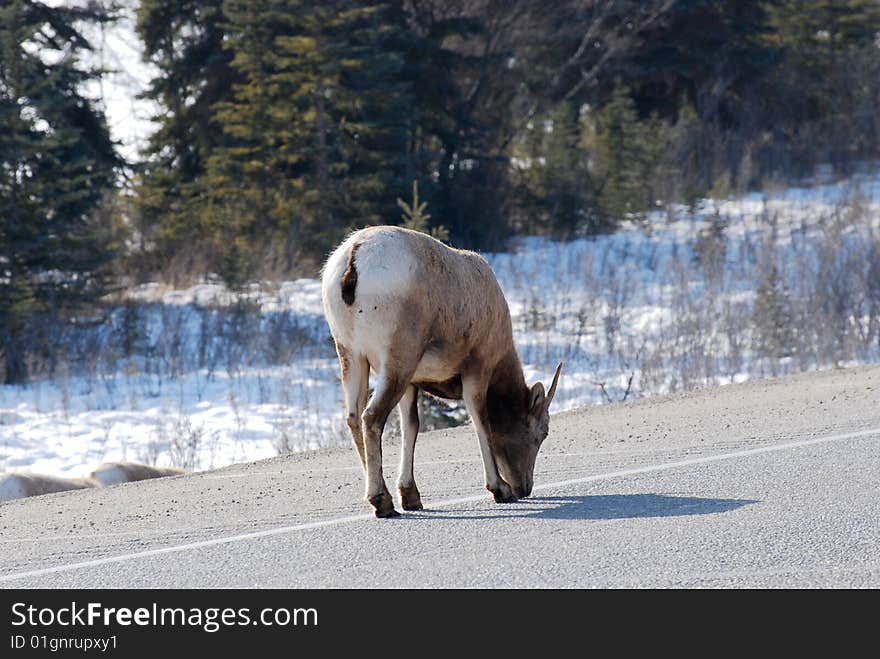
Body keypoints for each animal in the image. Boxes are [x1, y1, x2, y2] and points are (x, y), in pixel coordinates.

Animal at [320, 227, 560, 520]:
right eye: (542, 432)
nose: (524, 487)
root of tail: (354, 259)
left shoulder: (413, 383)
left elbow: (411, 426)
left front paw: (411, 496)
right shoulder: (477, 368)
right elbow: (481, 422)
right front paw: (500, 490)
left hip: (351, 354)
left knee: (354, 418)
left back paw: (383, 495)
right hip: (398, 359)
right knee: (372, 417)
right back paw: (382, 502)